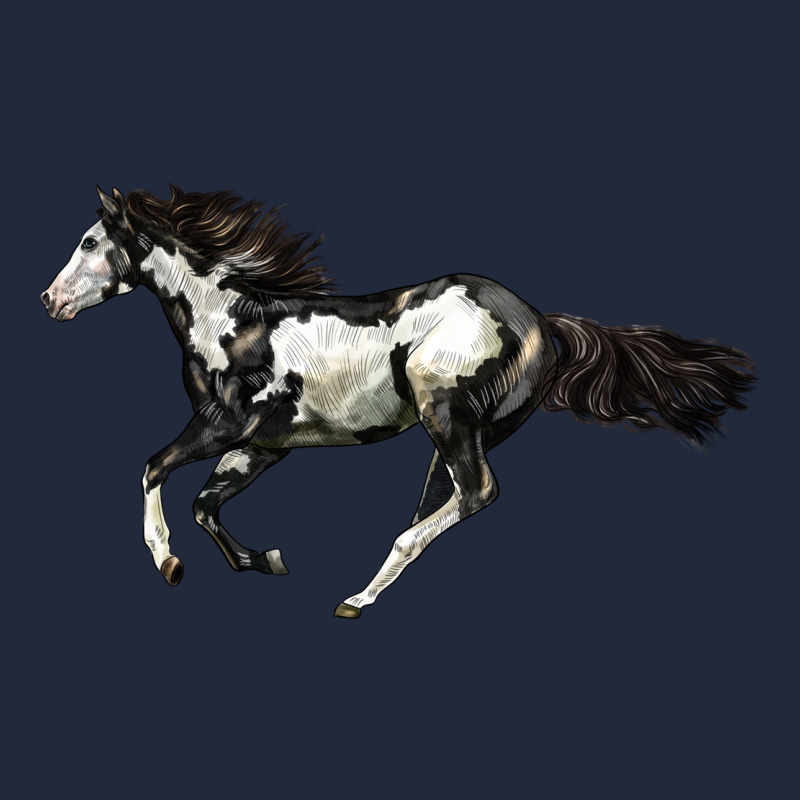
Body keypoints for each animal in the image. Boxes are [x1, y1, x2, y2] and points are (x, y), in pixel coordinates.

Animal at [41, 186, 756, 618]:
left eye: (88, 242)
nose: (49, 300)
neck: (232, 322)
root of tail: (540, 322)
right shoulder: (264, 446)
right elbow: (204, 504)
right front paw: (265, 559)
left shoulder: (226, 425)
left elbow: (153, 469)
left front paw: (167, 563)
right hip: (461, 432)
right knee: (447, 501)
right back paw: (365, 588)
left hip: (444, 411)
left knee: (475, 494)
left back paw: (357, 599)